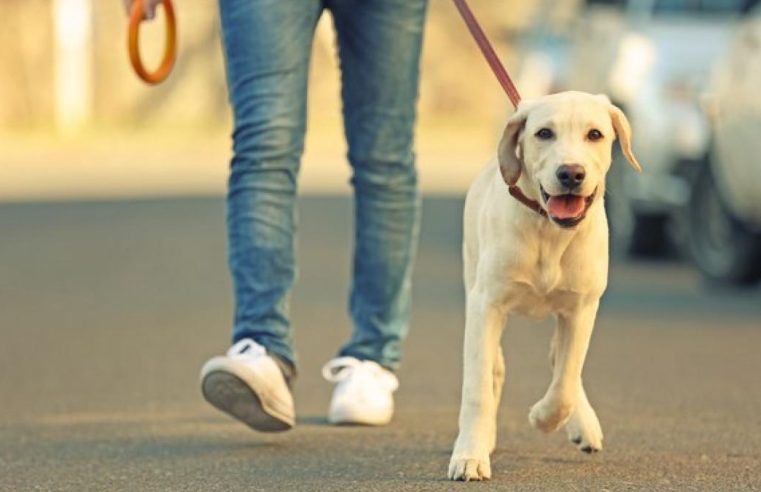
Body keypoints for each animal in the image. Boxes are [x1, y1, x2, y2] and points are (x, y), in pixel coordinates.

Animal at [448, 89, 640, 480]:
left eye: (595, 134)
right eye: (544, 133)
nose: (571, 173)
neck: (549, 232)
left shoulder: (581, 308)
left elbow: (566, 380)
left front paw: (543, 417)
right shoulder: (486, 305)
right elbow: (478, 387)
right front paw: (470, 454)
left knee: (563, 362)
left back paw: (583, 424)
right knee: (495, 367)